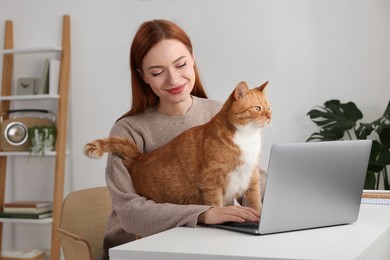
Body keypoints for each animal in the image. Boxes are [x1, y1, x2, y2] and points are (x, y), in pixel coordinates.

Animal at [84, 81, 270, 211]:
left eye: (269, 108)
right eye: (257, 108)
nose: (269, 117)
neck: (247, 138)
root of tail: (138, 157)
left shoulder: (252, 177)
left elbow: (255, 202)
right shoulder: (211, 180)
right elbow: (216, 204)